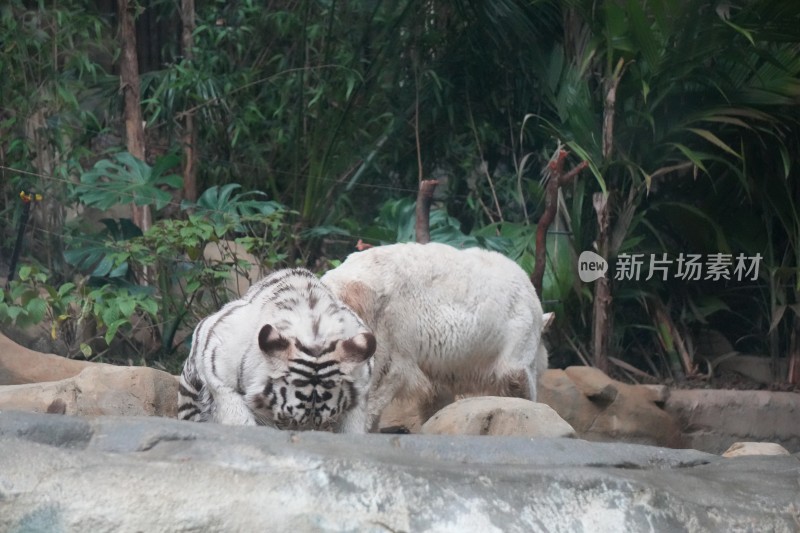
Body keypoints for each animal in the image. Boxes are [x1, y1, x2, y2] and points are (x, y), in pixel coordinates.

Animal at [177, 266, 376, 432]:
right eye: (286, 420)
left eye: (326, 422)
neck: (313, 330)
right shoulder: (217, 365)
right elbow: (235, 412)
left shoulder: (362, 385)